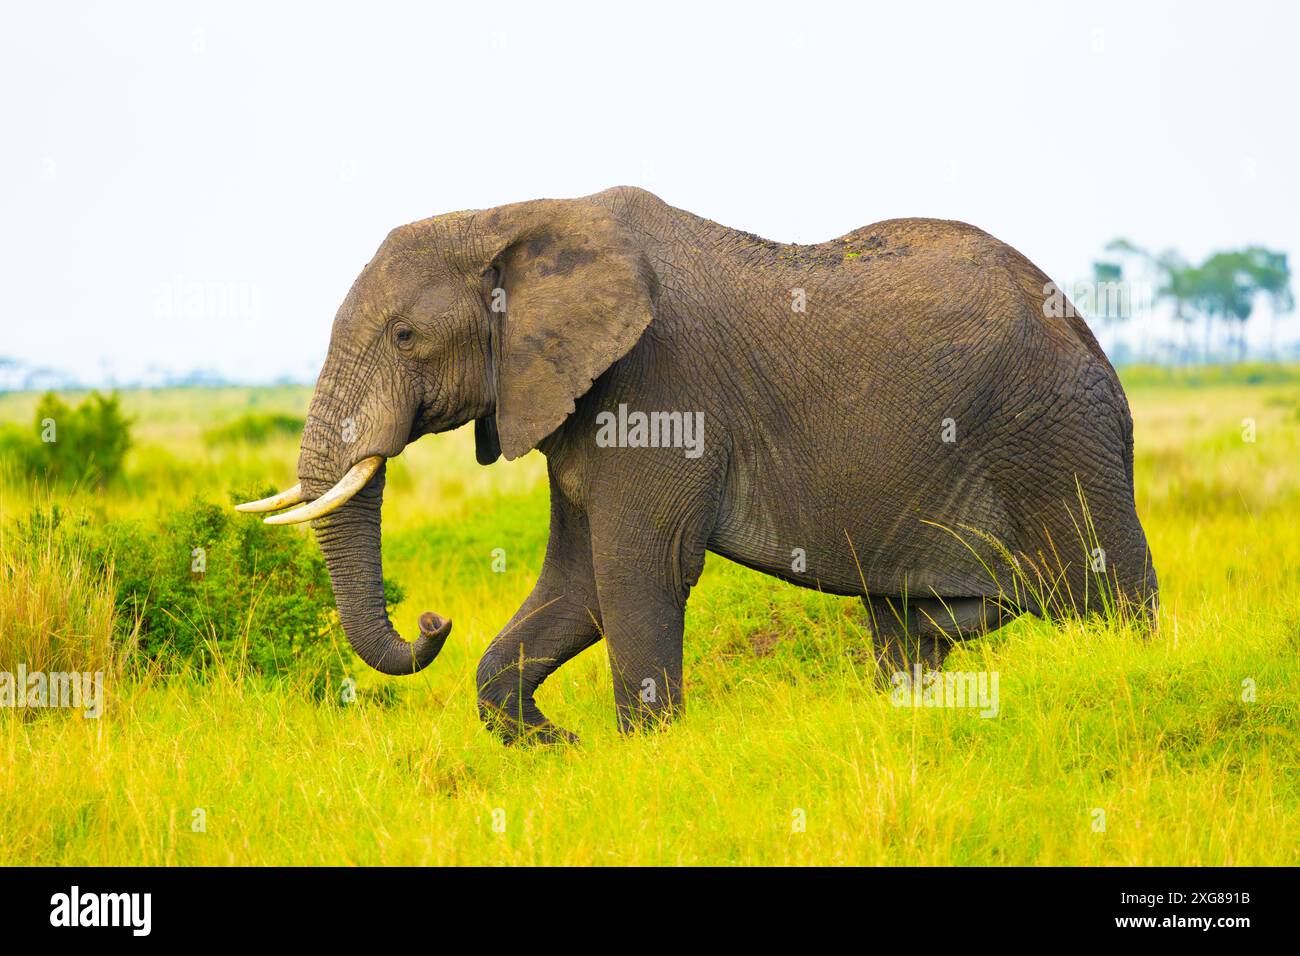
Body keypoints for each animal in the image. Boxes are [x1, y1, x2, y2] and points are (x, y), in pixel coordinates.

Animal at [241, 184, 1159, 738]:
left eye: (405, 337)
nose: (433, 621)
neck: (516, 215)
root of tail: (1088, 332)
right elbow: (578, 583)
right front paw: (555, 746)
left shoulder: (658, 387)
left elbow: (636, 570)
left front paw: (638, 751)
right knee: (904, 630)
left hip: (1059, 443)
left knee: (1115, 603)